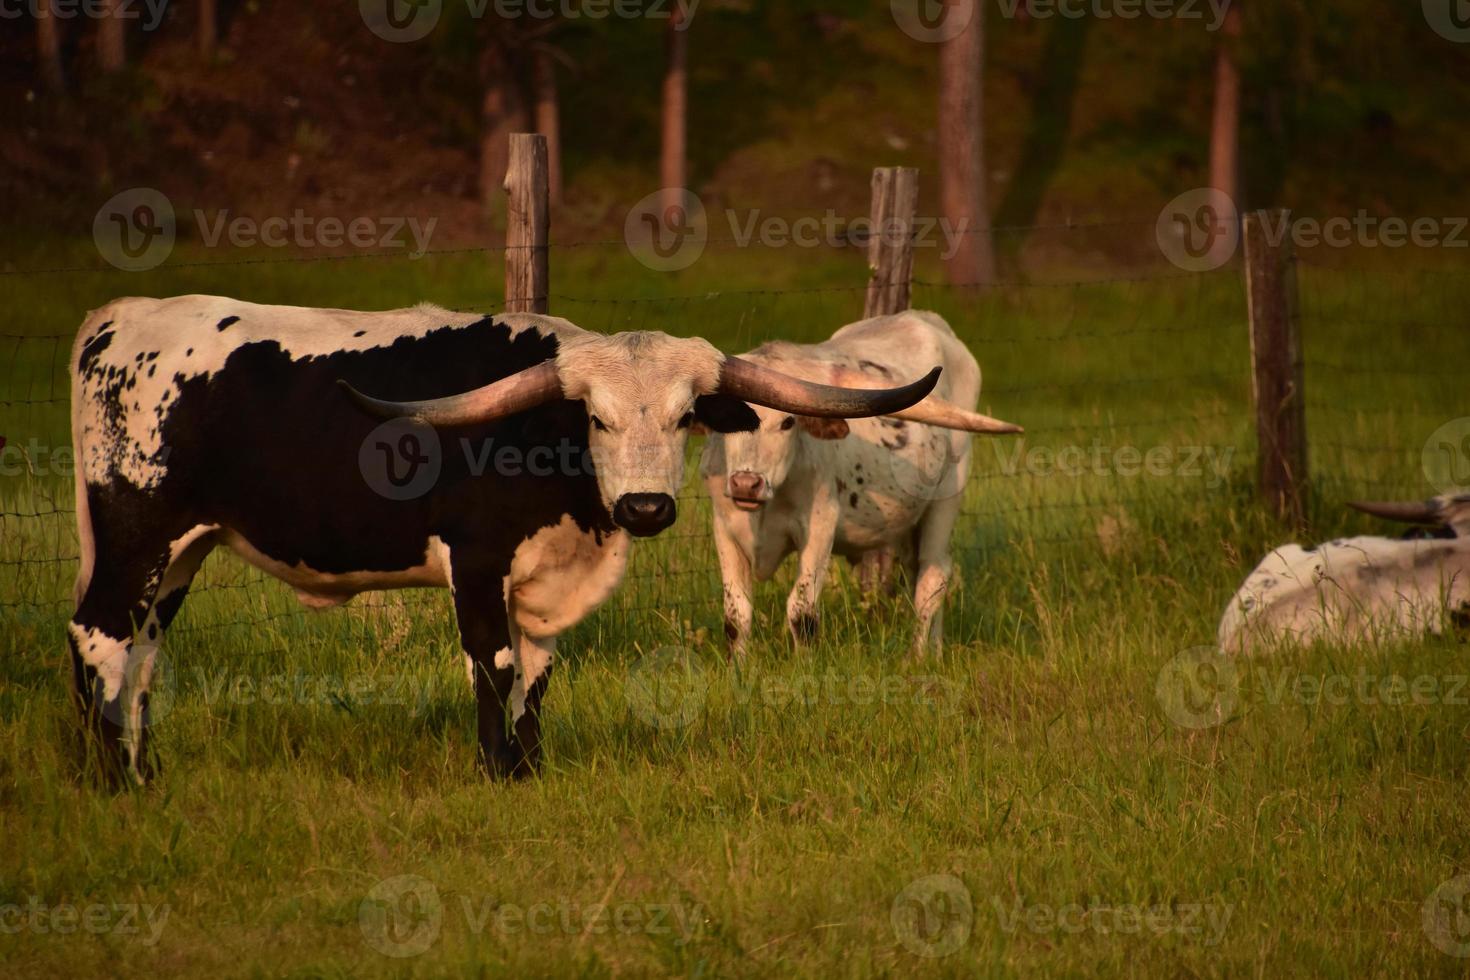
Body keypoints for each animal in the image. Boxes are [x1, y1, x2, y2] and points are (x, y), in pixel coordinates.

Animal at [699, 310, 1023, 655]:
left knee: (932, 577)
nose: (746, 484)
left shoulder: (820, 527)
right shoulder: (725, 529)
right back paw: (935, 650)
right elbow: (737, 616)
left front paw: (803, 663)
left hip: (948, 494)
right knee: (919, 572)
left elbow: (801, 611)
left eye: (787, 422)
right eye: (725, 421)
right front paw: (739, 665)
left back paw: (917, 656)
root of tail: (925, 319)